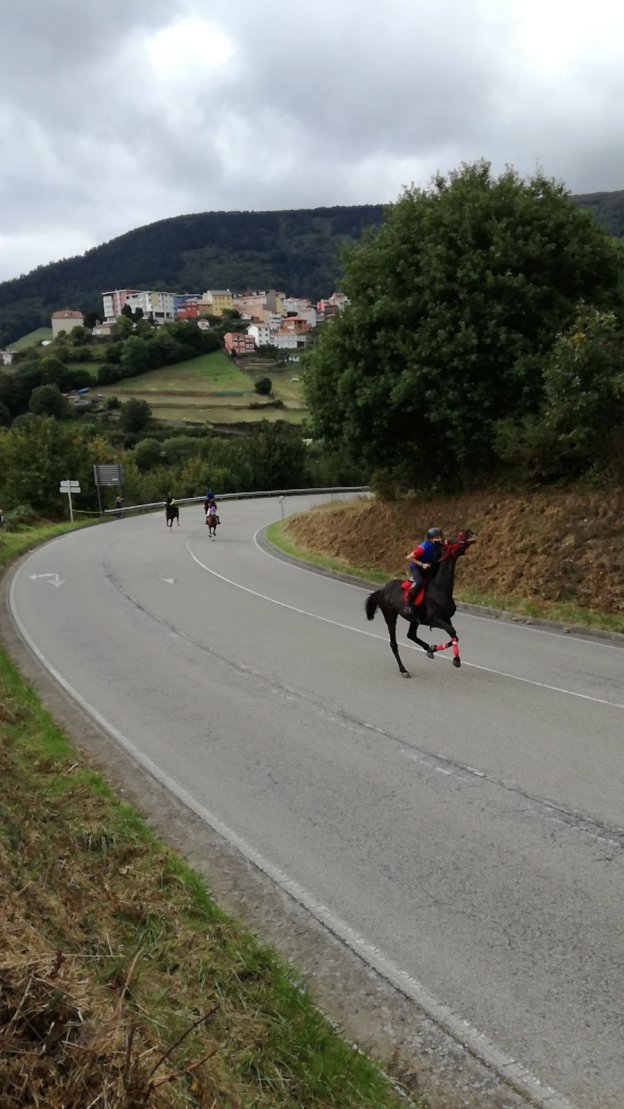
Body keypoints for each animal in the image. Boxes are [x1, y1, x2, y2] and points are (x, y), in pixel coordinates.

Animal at [363, 530, 476, 674]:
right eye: (451, 539)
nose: (469, 532)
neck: (440, 588)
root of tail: (382, 590)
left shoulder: (446, 618)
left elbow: (455, 636)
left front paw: (433, 649)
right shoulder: (434, 620)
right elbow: (452, 632)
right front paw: (456, 659)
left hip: (414, 619)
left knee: (411, 635)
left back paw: (429, 648)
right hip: (390, 615)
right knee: (393, 643)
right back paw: (403, 669)